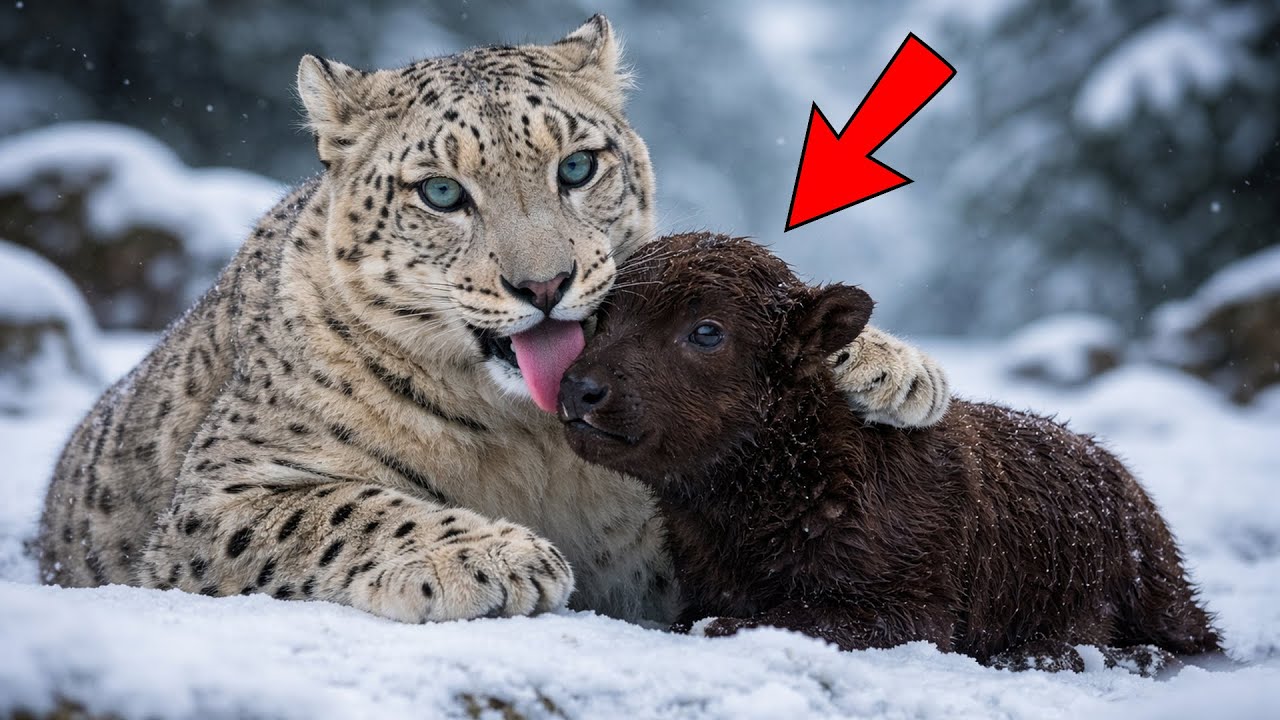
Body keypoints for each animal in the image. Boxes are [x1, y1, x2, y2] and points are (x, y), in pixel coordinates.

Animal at [34, 15, 950, 624]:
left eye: (577, 167)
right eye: (442, 191)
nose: (543, 283)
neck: (535, 446)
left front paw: (890, 368)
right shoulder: (224, 495)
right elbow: (338, 509)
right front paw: (489, 553)